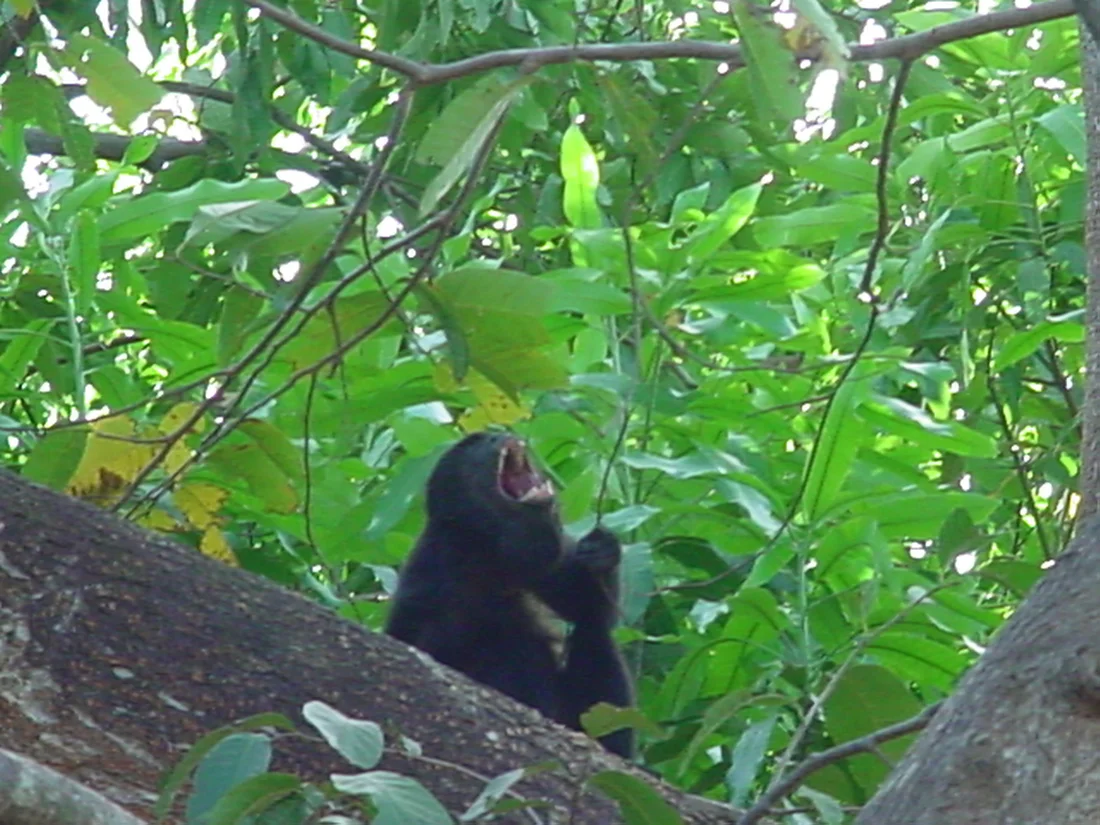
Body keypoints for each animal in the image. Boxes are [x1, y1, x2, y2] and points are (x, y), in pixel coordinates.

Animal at [385, 431, 634, 757]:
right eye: (476, 443)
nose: (499, 433)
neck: (489, 548)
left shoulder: (554, 553)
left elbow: (585, 607)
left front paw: (604, 551)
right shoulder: (435, 559)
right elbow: (417, 640)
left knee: (592, 630)